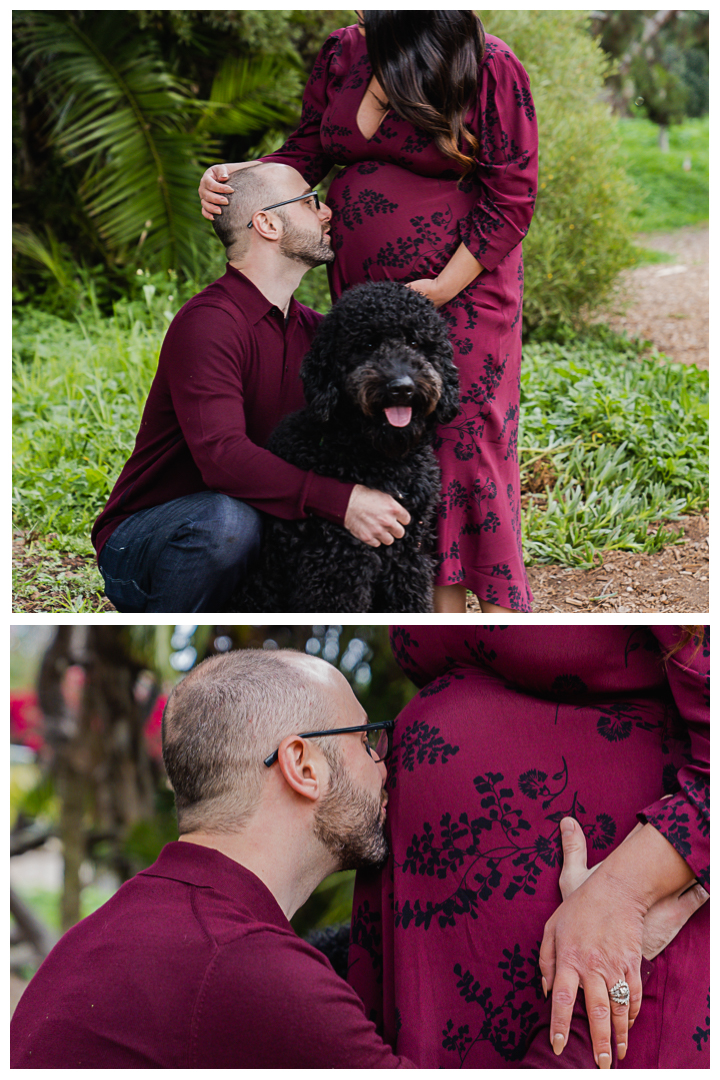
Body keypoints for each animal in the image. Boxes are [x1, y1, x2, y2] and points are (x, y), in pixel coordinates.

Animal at [236, 282, 462, 613]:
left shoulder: (409, 555)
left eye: (414, 342)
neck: (382, 459)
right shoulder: (336, 561)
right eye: (367, 344)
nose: (402, 387)